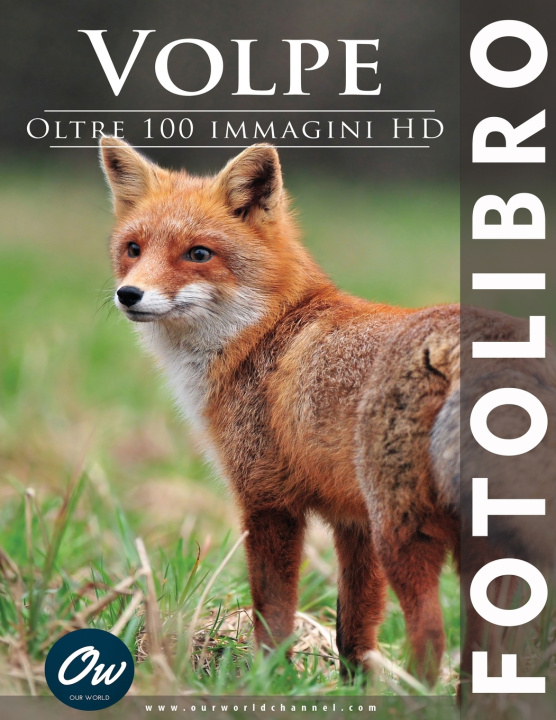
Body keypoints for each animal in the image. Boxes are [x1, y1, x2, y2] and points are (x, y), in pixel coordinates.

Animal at [99, 137, 556, 687]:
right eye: (133, 249)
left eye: (199, 254)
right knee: (490, 652)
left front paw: (269, 680)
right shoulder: (352, 520)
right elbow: (353, 630)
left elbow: (274, 614)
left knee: (430, 637)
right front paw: (354, 690)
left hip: (406, 532)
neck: (265, 332)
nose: (129, 294)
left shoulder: (268, 500)